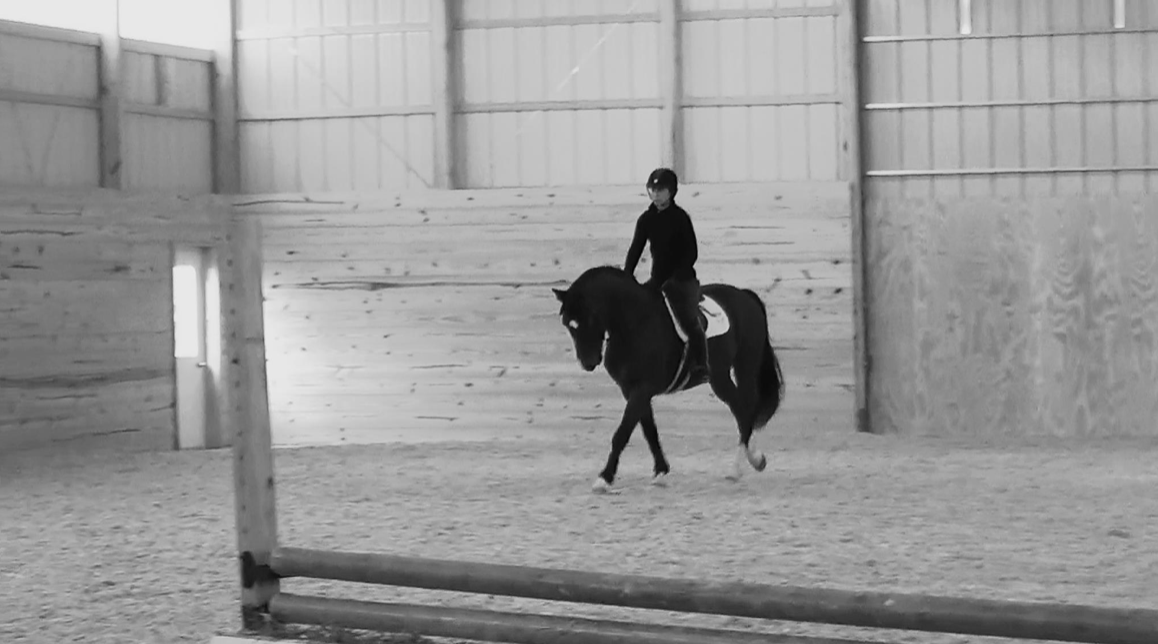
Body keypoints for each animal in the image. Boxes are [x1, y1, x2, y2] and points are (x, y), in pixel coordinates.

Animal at [551, 262, 787, 493]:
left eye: (590, 318)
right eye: (568, 324)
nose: (588, 362)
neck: (635, 322)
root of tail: (745, 296)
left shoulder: (642, 389)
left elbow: (622, 433)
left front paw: (604, 478)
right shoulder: (632, 390)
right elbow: (649, 430)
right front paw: (661, 471)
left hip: (744, 366)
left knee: (745, 410)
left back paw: (738, 467)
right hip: (720, 378)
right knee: (741, 409)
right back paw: (754, 459)